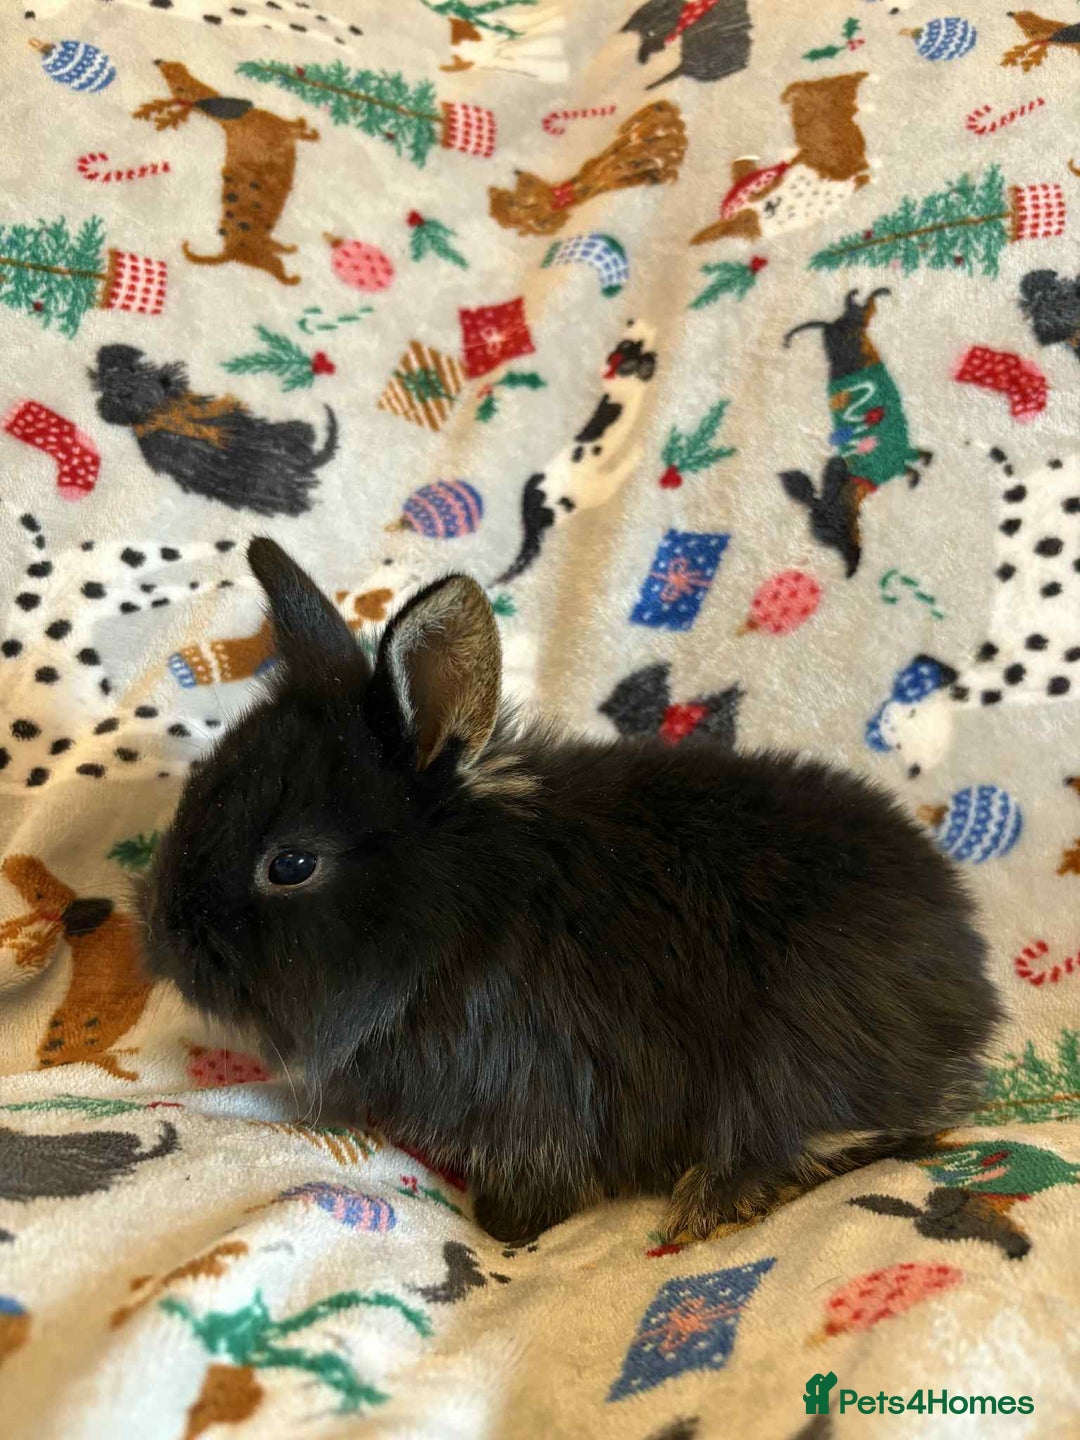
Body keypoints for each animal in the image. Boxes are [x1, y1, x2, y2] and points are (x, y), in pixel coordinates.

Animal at [142, 538, 1001, 1246]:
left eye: (290, 865)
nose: (159, 943)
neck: (461, 913)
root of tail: (971, 976)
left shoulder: (536, 1098)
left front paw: (502, 1229)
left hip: (798, 1062)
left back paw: (713, 1203)